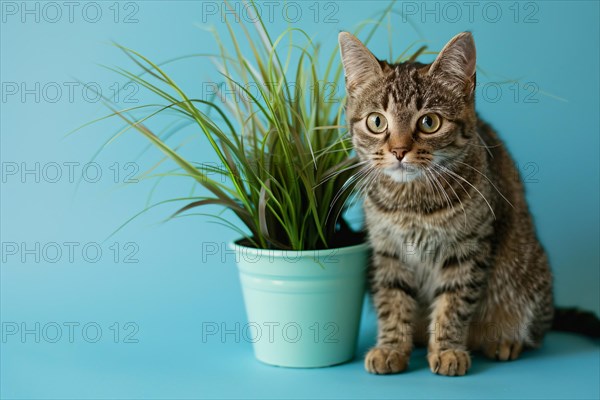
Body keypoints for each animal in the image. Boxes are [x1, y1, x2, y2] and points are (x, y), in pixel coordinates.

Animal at [340, 32, 596, 378]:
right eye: (377, 121)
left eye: (429, 122)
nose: (398, 151)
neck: (412, 202)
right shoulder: (387, 249)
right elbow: (392, 300)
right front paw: (392, 347)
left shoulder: (468, 249)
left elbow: (453, 303)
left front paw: (447, 350)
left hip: (529, 278)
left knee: (536, 333)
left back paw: (505, 341)